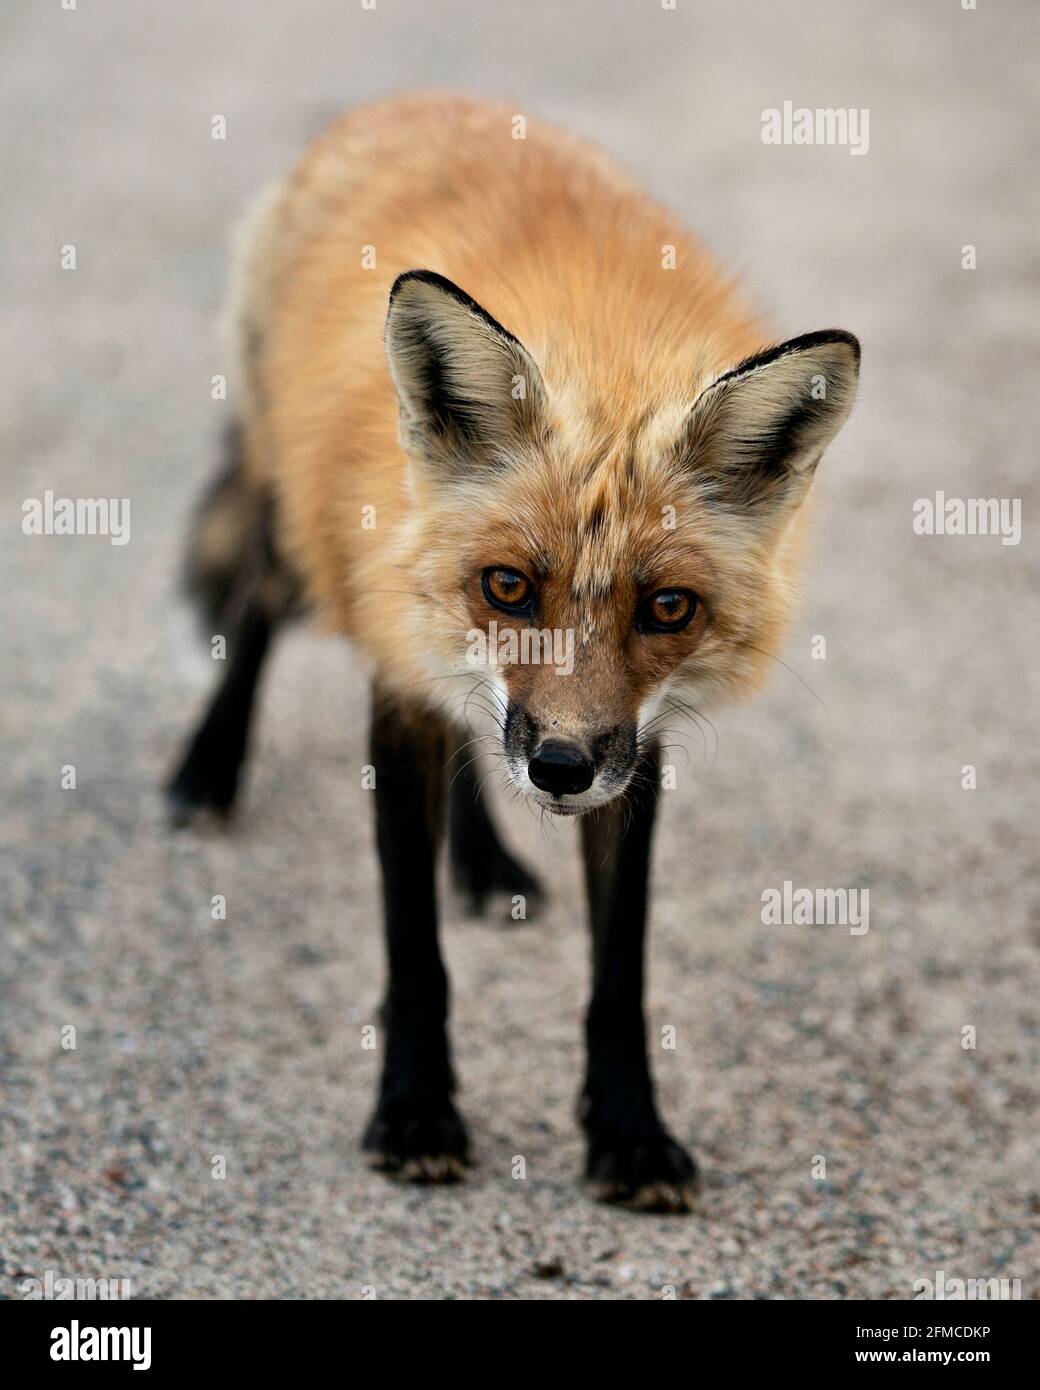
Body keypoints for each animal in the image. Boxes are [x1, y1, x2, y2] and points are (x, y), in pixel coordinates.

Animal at [166, 92, 856, 1212]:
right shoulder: (399, 679)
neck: (603, 351)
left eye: (668, 607)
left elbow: (619, 976)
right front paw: (414, 1112)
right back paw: (207, 768)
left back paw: (486, 861)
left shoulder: (635, 744)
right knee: (254, 612)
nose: (561, 769)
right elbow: (415, 955)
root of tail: (410, 100)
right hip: (291, 512)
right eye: (507, 586)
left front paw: (627, 1132)